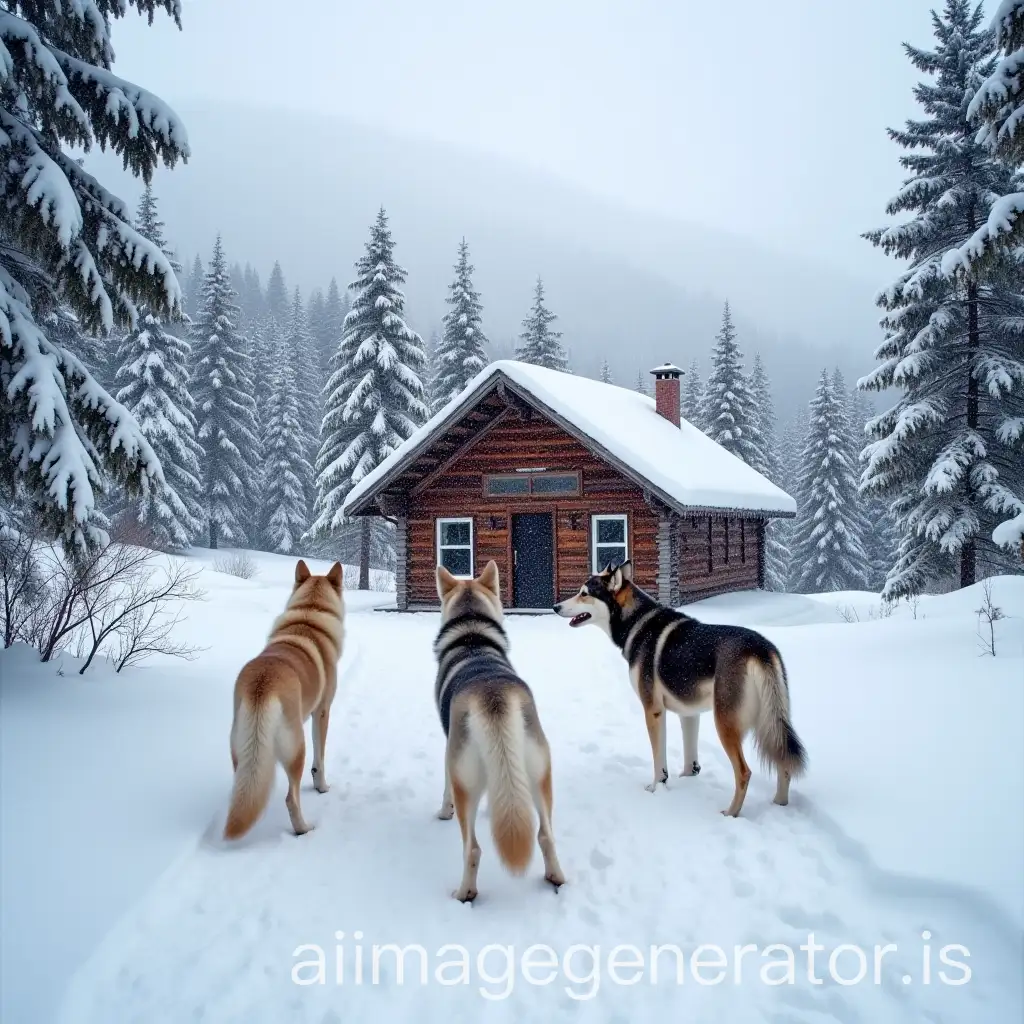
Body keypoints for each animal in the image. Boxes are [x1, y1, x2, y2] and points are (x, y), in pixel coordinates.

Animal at [223, 561, 344, 839]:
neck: (309, 614)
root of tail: (262, 687)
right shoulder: (322, 712)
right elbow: (320, 760)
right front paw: (322, 787)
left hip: (241, 752)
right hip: (296, 748)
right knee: (291, 798)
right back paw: (303, 829)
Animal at [428, 561, 565, 905]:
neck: (472, 639)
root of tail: (494, 698)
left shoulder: (449, 750)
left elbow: (445, 790)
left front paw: (443, 812)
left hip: (465, 781)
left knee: (473, 849)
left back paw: (464, 893)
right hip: (539, 775)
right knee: (546, 835)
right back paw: (556, 877)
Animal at [557, 561, 802, 815]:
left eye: (584, 593)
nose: (555, 607)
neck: (637, 623)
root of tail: (760, 650)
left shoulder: (653, 710)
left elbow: (659, 760)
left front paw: (657, 787)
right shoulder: (689, 714)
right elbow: (691, 760)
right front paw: (688, 779)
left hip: (725, 724)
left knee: (744, 772)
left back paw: (731, 813)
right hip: (772, 722)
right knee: (784, 763)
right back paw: (779, 804)